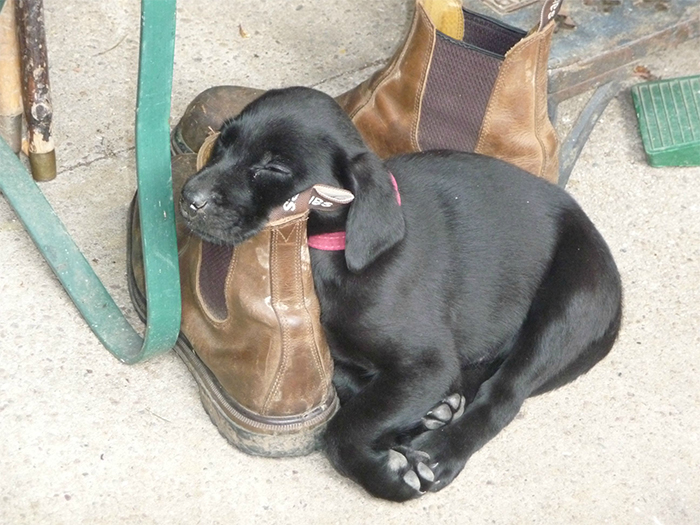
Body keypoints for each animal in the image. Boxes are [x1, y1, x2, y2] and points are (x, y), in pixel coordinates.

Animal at [178, 85, 620, 500]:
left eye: (273, 166)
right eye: (222, 143)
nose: (188, 198)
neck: (330, 252)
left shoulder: (429, 363)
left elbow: (347, 425)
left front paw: (388, 474)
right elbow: (354, 389)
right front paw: (412, 423)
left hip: (568, 307)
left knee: (504, 394)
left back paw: (440, 451)